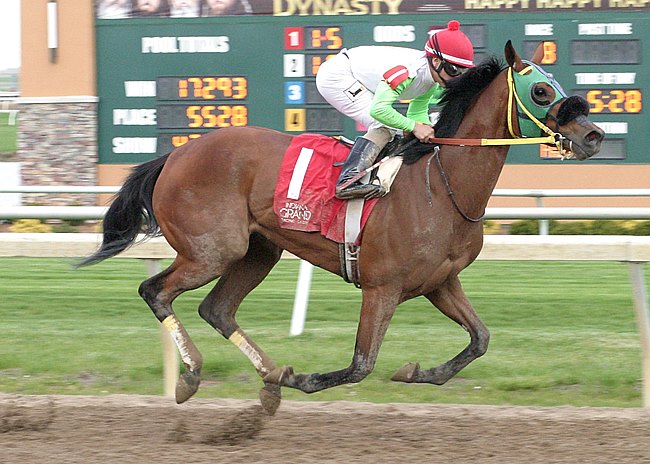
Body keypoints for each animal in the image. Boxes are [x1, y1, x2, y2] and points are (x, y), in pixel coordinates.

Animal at [79, 42, 604, 414]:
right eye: (540, 92)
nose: (594, 136)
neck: (441, 185)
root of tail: (175, 154)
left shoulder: (441, 283)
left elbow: (480, 340)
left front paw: (415, 372)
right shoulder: (382, 287)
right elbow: (360, 365)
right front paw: (306, 379)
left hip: (258, 250)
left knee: (217, 309)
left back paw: (270, 379)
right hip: (212, 250)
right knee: (156, 291)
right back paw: (194, 376)